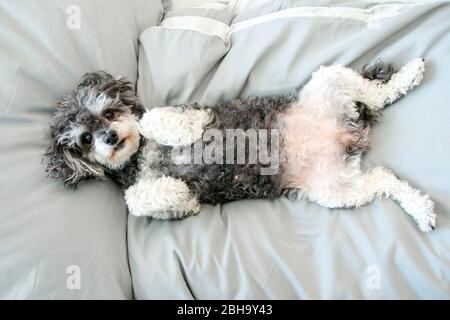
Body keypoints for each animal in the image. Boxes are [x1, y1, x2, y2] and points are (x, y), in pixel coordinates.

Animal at [45, 58, 436, 231]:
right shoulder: (150, 198)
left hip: (330, 80)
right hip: (338, 189)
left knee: (377, 92)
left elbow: (151, 117)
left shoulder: (181, 109)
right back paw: (422, 210)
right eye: (84, 139)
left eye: (109, 112)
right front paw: (180, 195)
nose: (110, 138)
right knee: (385, 179)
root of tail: (345, 135)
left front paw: (179, 128)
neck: (142, 156)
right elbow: (136, 198)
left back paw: (410, 73)